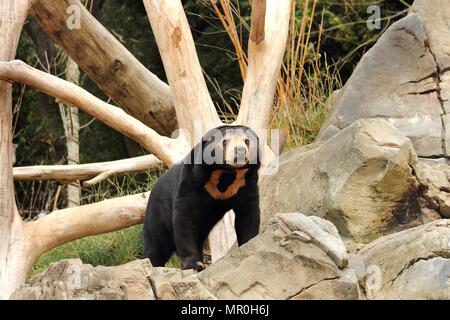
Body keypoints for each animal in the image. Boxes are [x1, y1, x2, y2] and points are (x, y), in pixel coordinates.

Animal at [142, 125, 262, 270]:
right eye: (225, 141)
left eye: (247, 141)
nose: (240, 151)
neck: (226, 173)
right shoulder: (192, 180)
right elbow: (185, 218)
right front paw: (194, 264)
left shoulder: (246, 183)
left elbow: (248, 215)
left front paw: (248, 245)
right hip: (157, 211)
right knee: (157, 243)